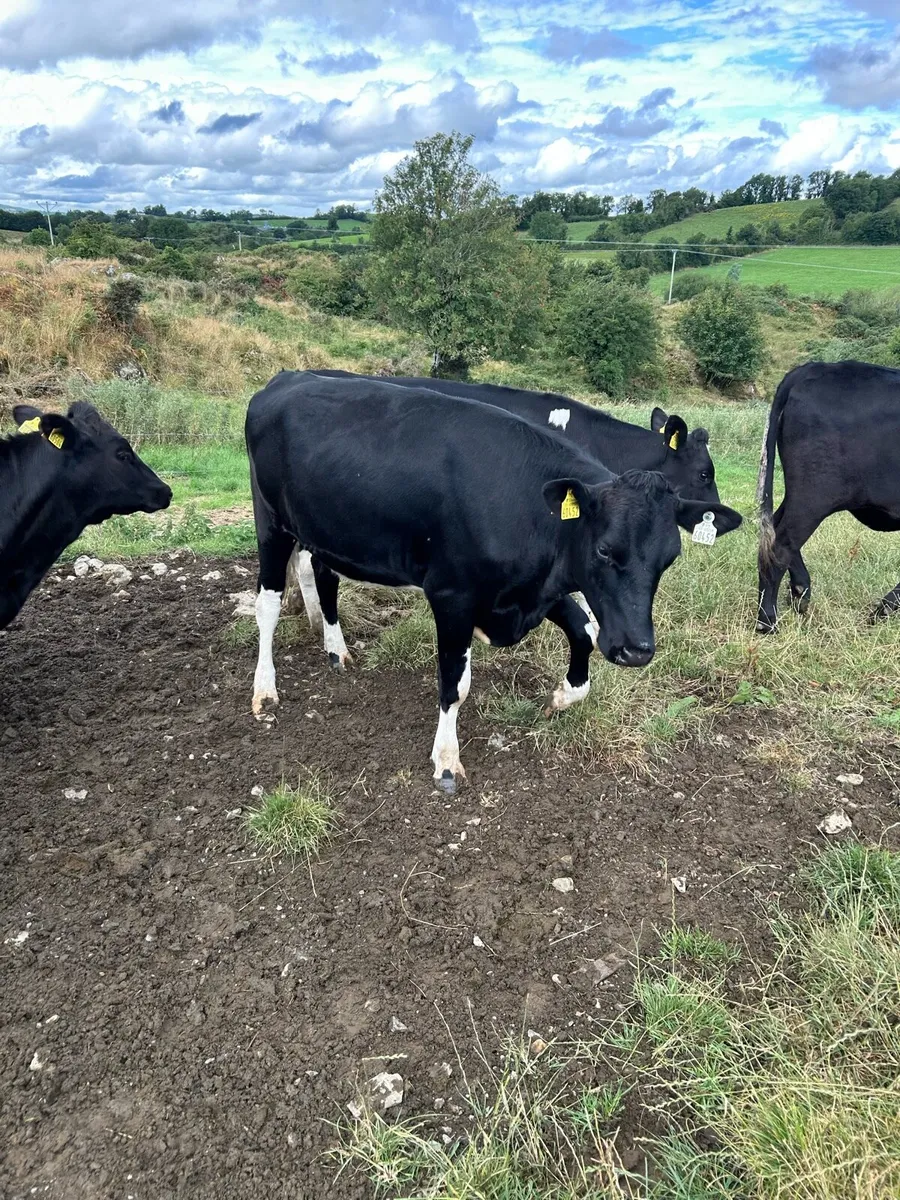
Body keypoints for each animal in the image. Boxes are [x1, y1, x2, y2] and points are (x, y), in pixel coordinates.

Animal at [246, 372, 741, 792]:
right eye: (604, 549)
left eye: (669, 558)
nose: (636, 650)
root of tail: (286, 378)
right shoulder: (452, 595)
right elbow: (455, 681)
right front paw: (446, 760)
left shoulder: (538, 587)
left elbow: (584, 631)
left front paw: (560, 697)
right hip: (272, 523)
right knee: (267, 603)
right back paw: (265, 689)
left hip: (326, 532)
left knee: (322, 574)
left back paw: (335, 648)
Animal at [757, 360, 900, 633]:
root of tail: (815, 366)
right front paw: (881, 611)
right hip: (815, 495)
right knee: (781, 545)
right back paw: (767, 621)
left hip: (801, 495)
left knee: (776, 530)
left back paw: (800, 592)